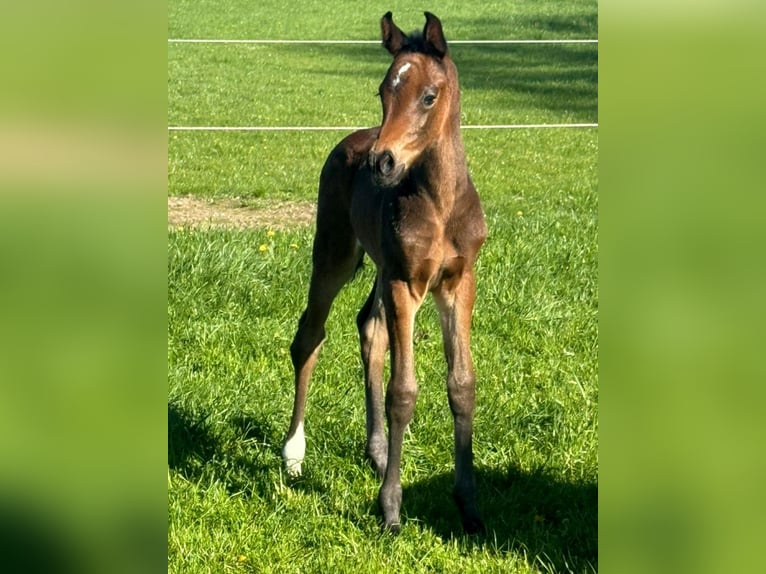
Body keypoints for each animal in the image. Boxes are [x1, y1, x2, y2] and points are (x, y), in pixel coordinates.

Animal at [281, 11, 487, 534]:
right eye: (383, 90)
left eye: (429, 96)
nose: (382, 162)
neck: (440, 204)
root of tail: (355, 139)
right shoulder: (404, 283)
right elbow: (403, 391)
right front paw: (391, 509)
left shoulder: (458, 283)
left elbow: (461, 384)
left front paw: (469, 505)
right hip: (334, 253)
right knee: (309, 336)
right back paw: (293, 453)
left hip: (377, 266)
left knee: (368, 328)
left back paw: (375, 454)